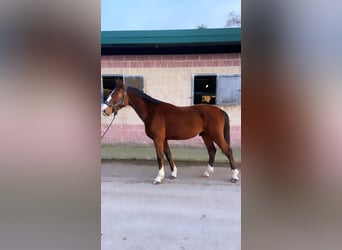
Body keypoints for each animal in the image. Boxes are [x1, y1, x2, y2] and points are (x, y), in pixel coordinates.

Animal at [103, 79, 239, 185]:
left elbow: (160, 156)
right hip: (206, 136)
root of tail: (220, 111)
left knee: (228, 151)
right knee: (212, 151)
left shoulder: (158, 138)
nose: (104, 110)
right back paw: (207, 172)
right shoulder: (164, 139)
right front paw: (173, 174)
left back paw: (234, 176)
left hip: (216, 135)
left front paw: (158, 178)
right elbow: (168, 154)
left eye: (116, 94)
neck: (152, 112)